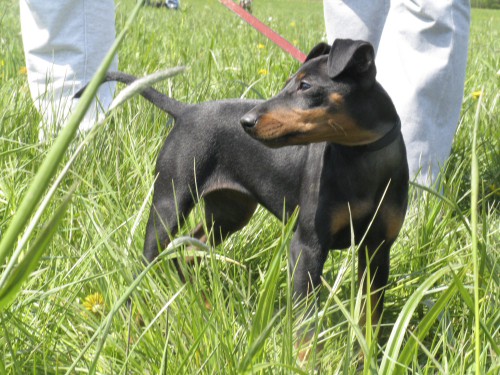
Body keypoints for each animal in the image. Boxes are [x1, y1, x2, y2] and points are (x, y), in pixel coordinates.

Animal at [79, 39, 406, 354]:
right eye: (288, 82)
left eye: (306, 86)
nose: (246, 122)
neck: (361, 155)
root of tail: (186, 111)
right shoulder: (307, 246)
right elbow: (305, 324)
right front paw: (305, 361)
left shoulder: (377, 251)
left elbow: (370, 318)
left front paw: (367, 359)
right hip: (170, 203)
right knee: (147, 263)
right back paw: (138, 319)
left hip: (229, 215)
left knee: (185, 250)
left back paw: (200, 305)